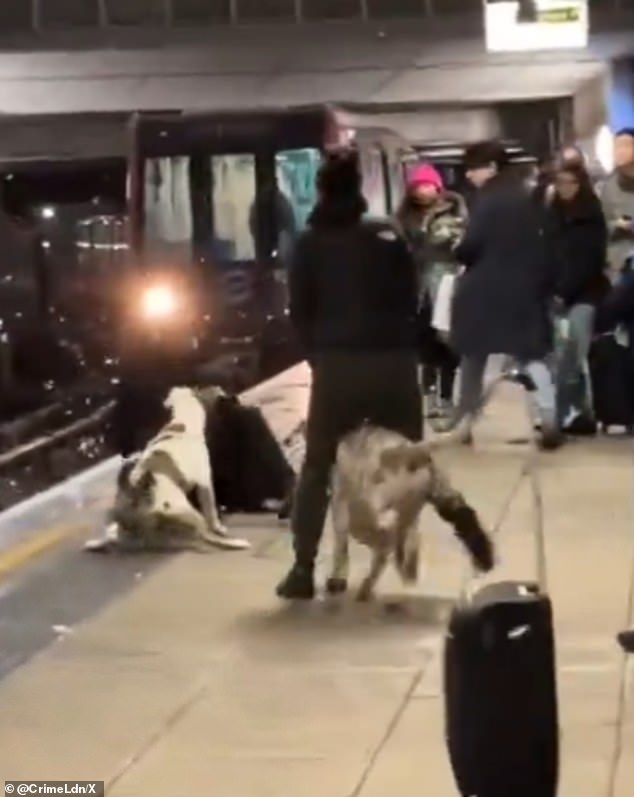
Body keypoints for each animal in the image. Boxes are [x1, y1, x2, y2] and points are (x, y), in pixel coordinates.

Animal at [83, 386, 249, 552]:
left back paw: (101, 541)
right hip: (186, 511)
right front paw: (219, 528)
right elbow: (211, 511)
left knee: (117, 536)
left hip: (120, 519)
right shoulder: (205, 483)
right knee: (204, 534)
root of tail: (136, 496)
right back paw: (234, 542)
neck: (181, 424)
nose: (233, 398)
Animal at [326, 426, 494, 600]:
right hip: (408, 507)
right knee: (406, 538)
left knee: (384, 540)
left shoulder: (344, 507)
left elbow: (342, 547)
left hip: (365, 508)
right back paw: (405, 569)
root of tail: (403, 449)